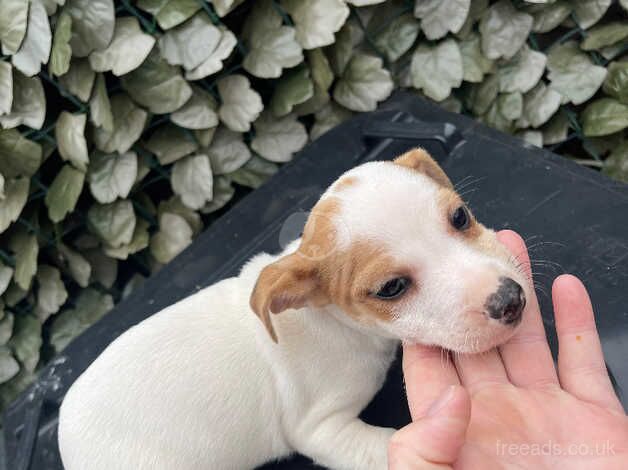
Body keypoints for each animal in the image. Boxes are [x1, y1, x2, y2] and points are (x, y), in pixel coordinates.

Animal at [57, 150, 528, 470]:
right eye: (391, 288)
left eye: (460, 217)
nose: (510, 300)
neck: (335, 323)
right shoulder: (319, 428)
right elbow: (384, 447)